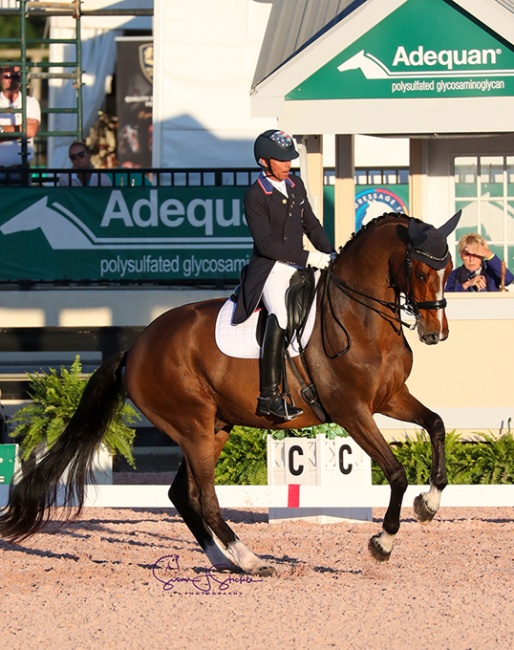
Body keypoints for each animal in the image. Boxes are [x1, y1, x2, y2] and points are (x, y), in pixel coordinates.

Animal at [0, 211, 456, 572]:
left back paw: (223, 560)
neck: (360, 318)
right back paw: (251, 561)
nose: (436, 333)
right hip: (194, 427)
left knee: (182, 494)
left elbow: (436, 424)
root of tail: (136, 348)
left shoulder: (389, 399)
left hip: (214, 427)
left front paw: (429, 504)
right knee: (205, 499)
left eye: (448, 268)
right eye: (420, 271)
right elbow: (396, 473)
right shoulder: (352, 411)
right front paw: (383, 543)